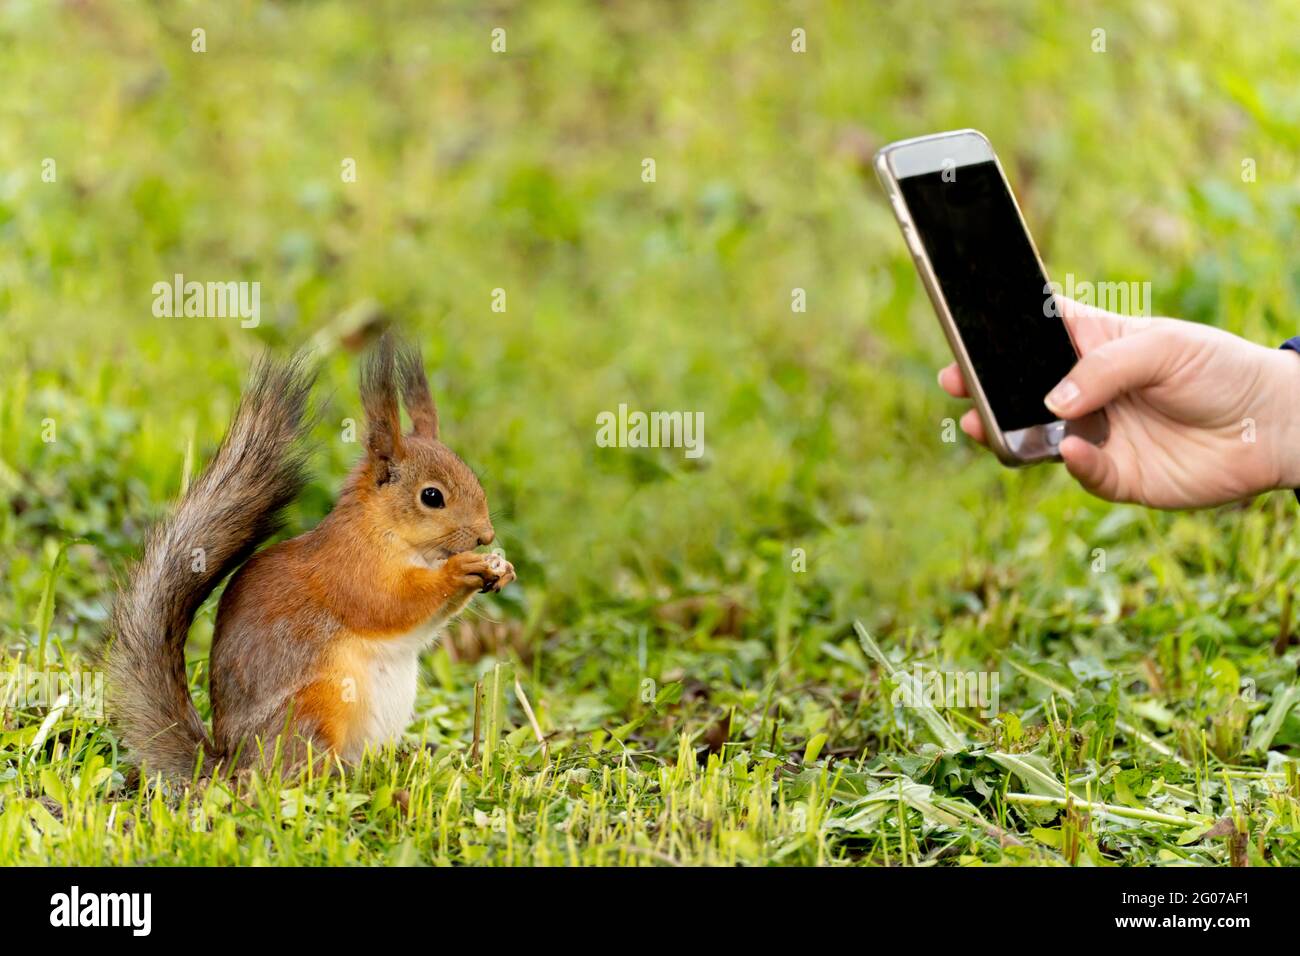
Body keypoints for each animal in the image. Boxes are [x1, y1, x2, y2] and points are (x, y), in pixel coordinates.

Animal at [106, 332, 512, 780]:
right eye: (432, 496)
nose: (486, 535)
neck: (390, 536)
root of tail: (231, 767)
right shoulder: (351, 571)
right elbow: (394, 603)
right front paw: (461, 569)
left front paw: (501, 569)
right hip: (318, 703)